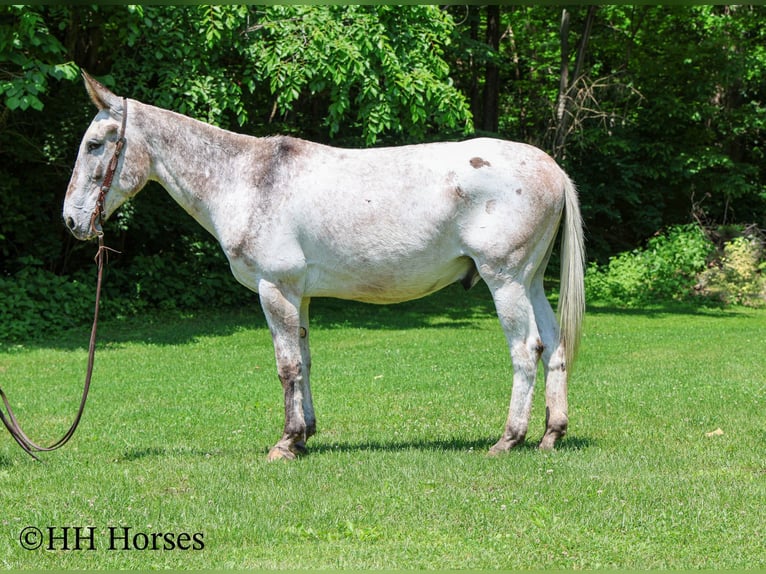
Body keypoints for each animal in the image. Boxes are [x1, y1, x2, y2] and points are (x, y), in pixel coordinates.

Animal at [63, 72, 585, 461]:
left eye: (94, 145)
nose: (71, 220)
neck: (248, 181)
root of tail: (552, 168)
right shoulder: (301, 294)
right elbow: (306, 359)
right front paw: (305, 435)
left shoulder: (274, 288)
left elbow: (287, 365)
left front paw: (286, 443)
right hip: (531, 281)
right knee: (555, 347)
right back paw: (551, 434)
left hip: (505, 281)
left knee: (527, 350)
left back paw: (508, 439)